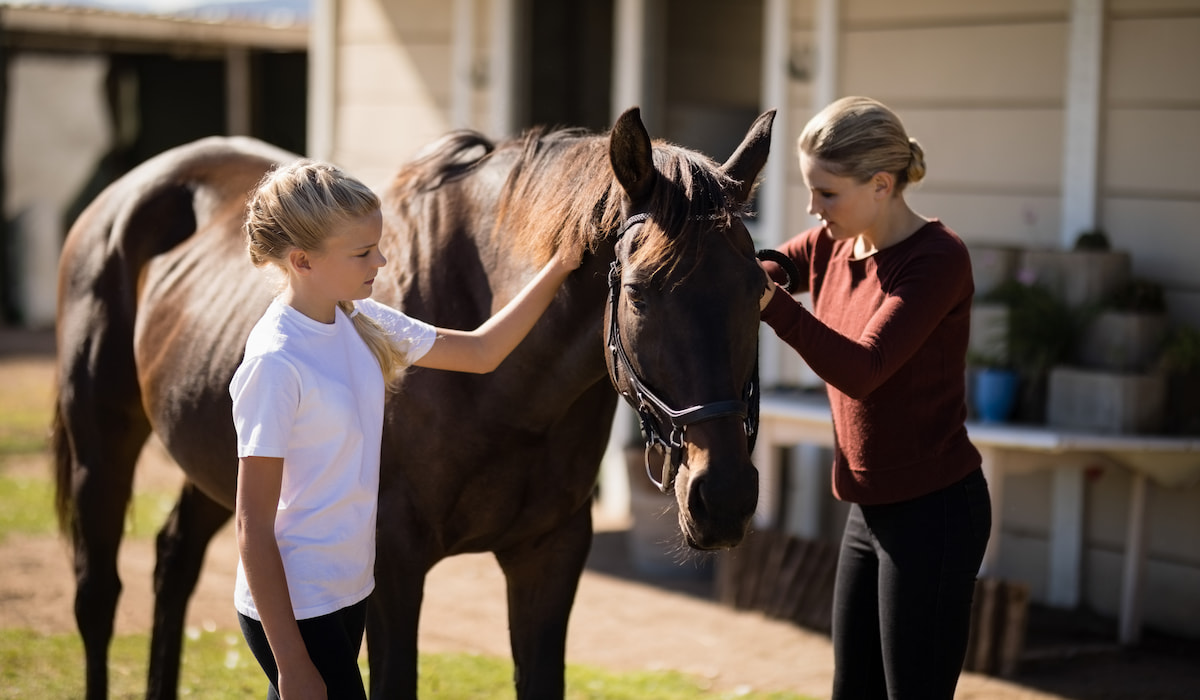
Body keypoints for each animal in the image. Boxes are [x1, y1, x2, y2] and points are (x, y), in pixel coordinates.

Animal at [53, 106, 774, 699]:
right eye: (642, 292)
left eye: (760, 289)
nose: (724, 498)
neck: (508, 393)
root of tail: (123, 193)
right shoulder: (393, 565)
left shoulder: (551, 553)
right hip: (102, 444)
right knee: (96, 596)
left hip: (228, 464)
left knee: (174, 562)